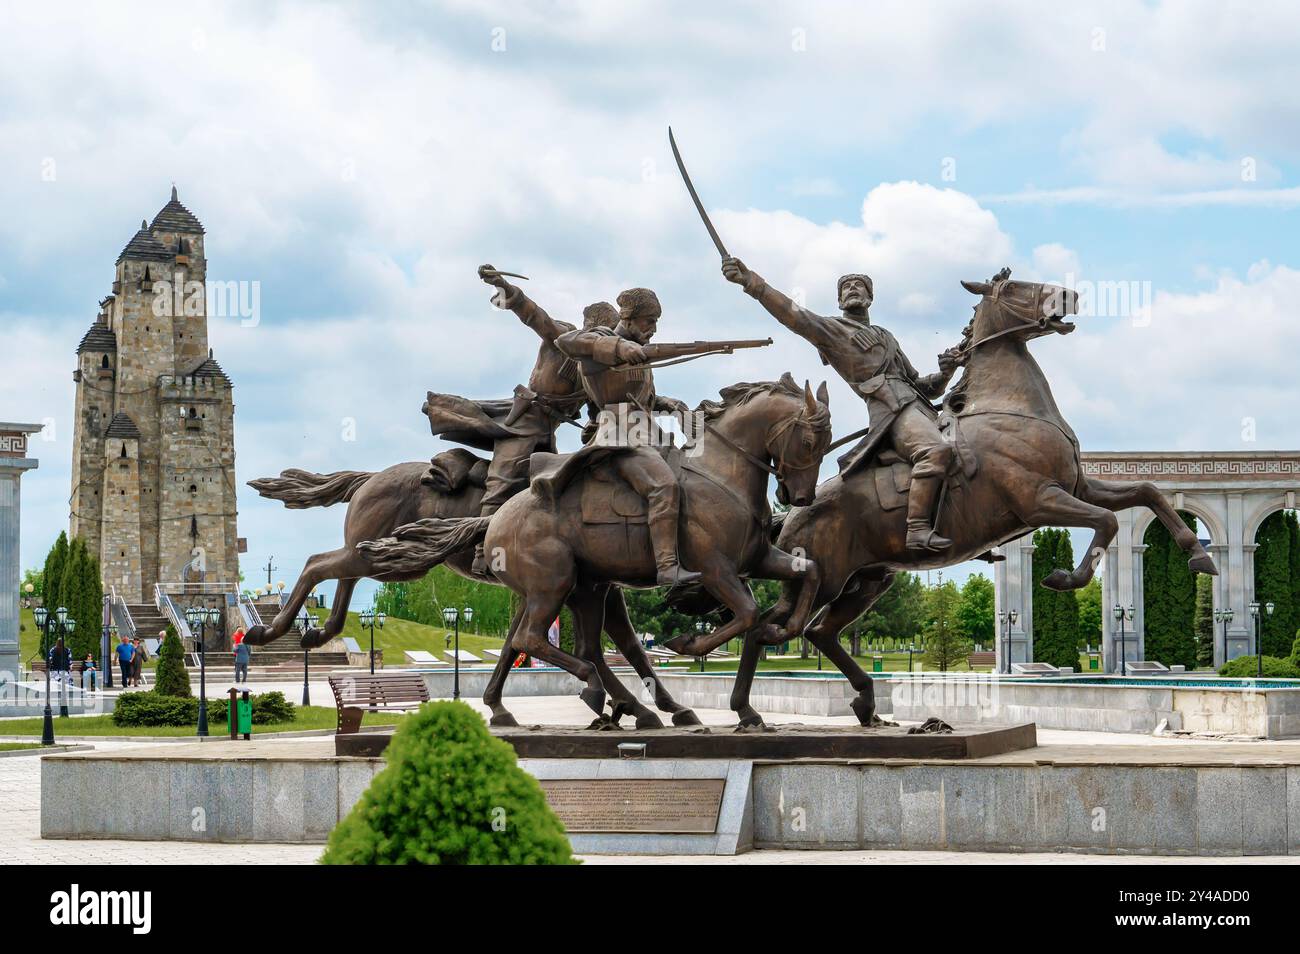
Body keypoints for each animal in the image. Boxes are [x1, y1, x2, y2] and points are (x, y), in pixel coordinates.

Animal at [733, 272, 1216, 727]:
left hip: (868, 580)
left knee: (818, 632)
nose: (1071, 295)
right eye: (1016, 286)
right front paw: (1063, 577)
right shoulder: (1039, 500)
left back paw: (864, 704)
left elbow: (1147, 492)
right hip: (820, 579)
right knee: (766, 627)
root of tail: (792, 513)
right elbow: (1108, 523)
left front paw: (1199, 557)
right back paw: (748, 711)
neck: (1011, 407)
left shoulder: (1078, 487)